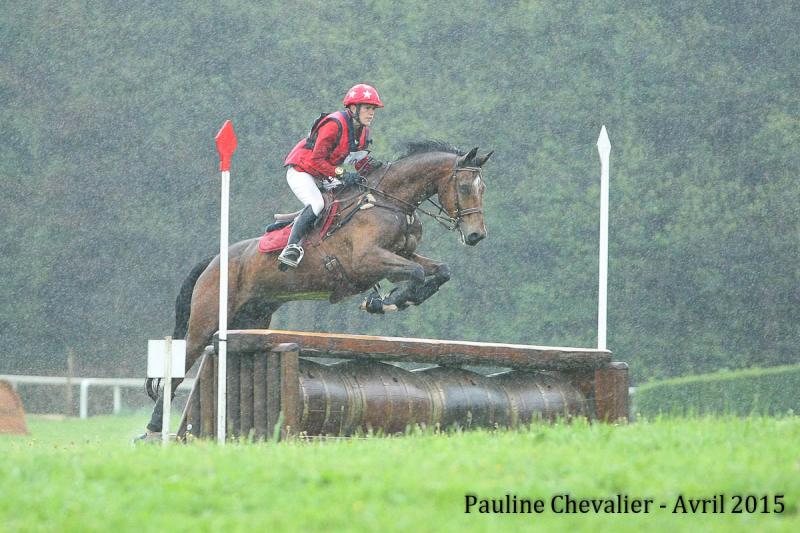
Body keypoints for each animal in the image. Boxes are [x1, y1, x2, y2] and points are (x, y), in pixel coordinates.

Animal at [142, 141, 492, 434]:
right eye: (464, 187)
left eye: (483, 189)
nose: (476, 236)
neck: (389, 202)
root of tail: (215, 260)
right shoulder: (365, 261)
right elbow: (417, 273)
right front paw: (391, 301)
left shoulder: (399, 257)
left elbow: (439, 271)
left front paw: (396, 299)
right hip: (207, 320)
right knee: (180, 364)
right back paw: (152, 429)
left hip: (253, 318)